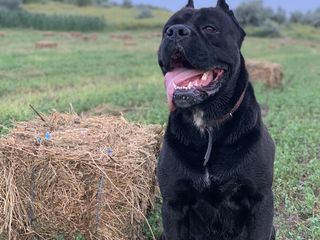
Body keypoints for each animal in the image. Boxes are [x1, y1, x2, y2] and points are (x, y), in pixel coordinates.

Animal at [157, 0, 276, 240]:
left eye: (209, 28)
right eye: (166, 29)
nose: (175, 32)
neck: (207, 125)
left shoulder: (260, 201)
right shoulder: (173, 204)